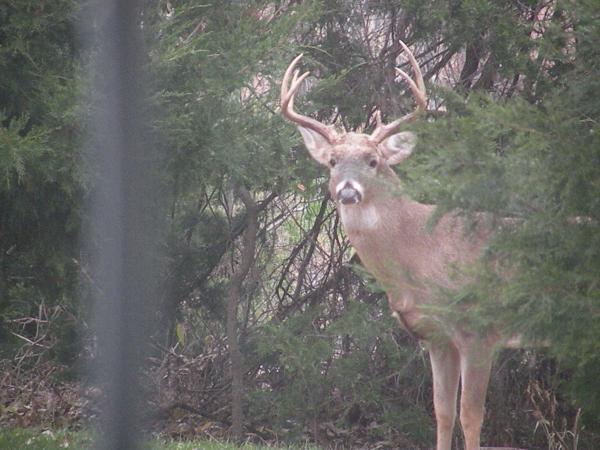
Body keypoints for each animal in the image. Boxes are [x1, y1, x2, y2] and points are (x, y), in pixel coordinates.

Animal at [282, 42, 520, 450]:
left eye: (373, 161)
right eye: (332, 160)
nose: (348, 191)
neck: (424, 250)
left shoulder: (478, 330)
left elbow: (471, 416)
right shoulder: (436, 336)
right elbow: (442, 411)